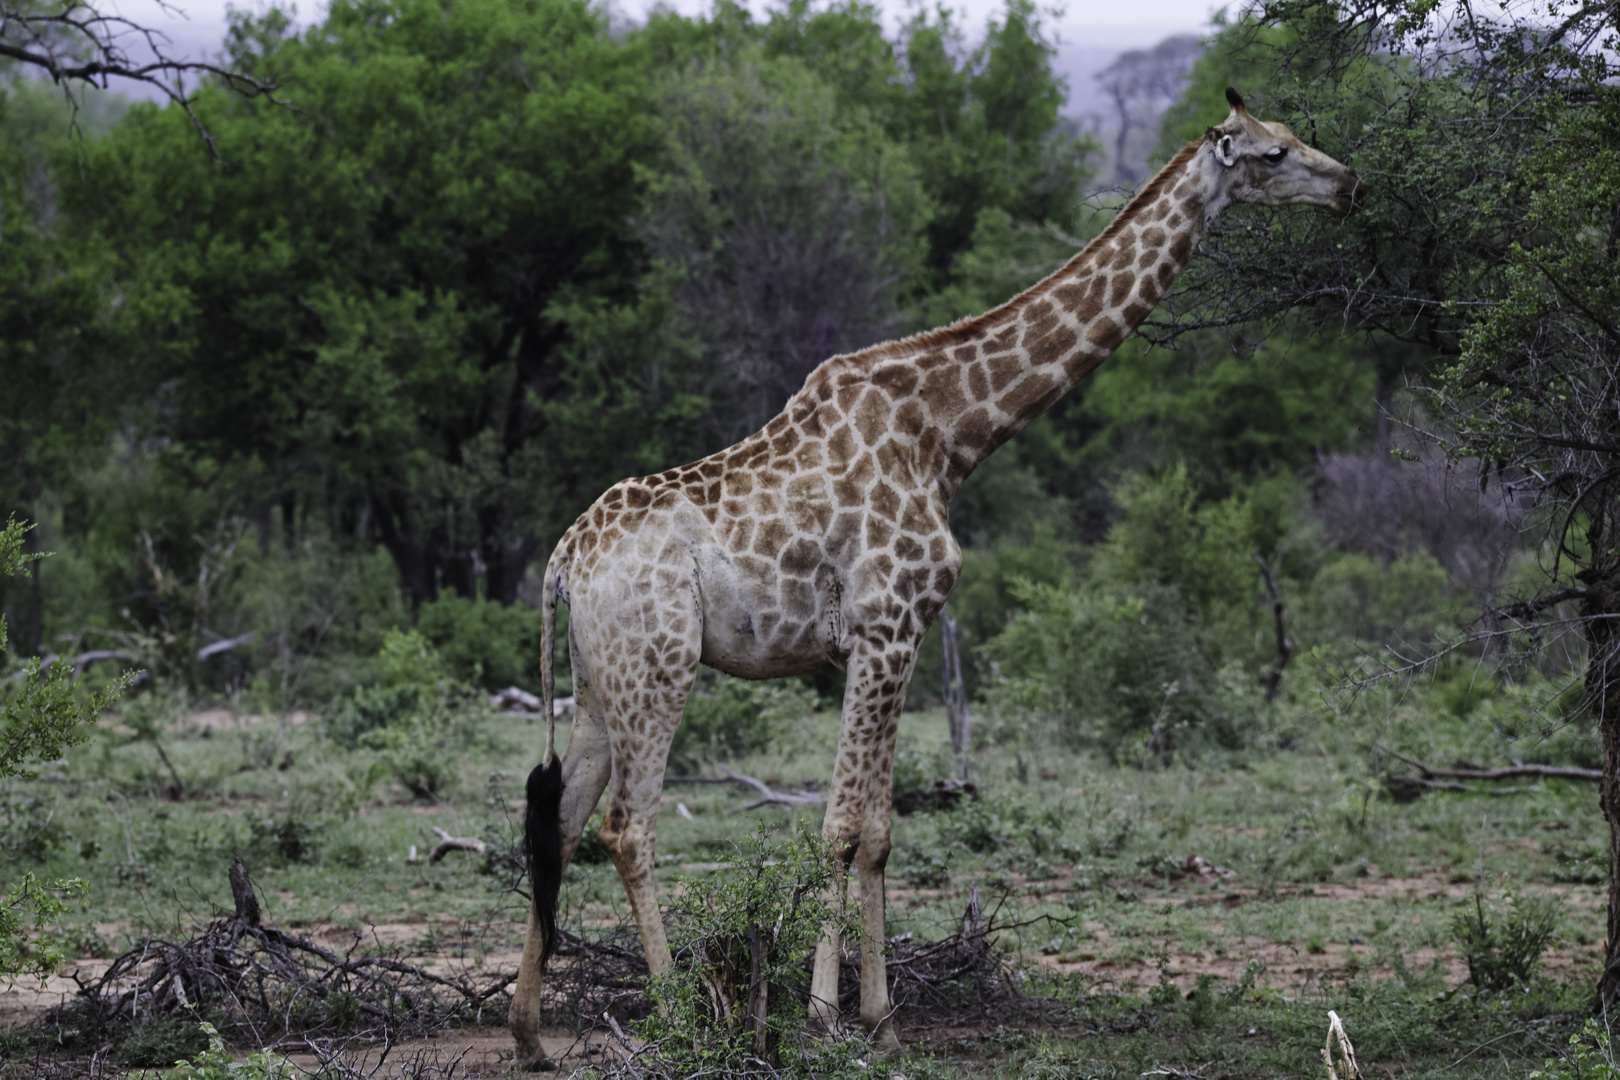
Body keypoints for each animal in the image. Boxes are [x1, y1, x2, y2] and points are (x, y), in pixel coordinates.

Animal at [508, 86, 1367, 1062]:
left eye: (1293, 136)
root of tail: (564, 559)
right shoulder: (882, 628)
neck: (951, 433)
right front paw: (825, 1014)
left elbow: (881, 831)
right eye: (1272, 152)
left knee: (560, 820)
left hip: (599, 678)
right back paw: (683, 1016)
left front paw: (880, 1015)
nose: (1351, 186)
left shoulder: (903, 637)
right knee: (629, 827)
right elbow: (842, 826)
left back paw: (529, 1033)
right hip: (660, 667)